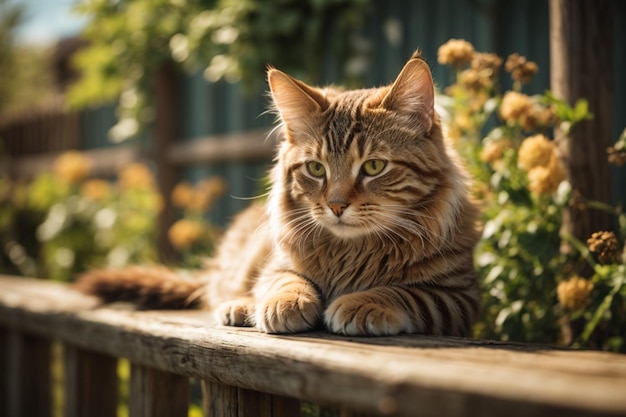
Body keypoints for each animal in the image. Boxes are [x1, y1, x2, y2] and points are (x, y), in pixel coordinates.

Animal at [75, 50, 480, 336]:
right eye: (316, 169)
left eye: (374, 167)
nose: (336, 206)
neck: (353, 251)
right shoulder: (278, 264)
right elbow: (285, 280)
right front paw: (286, 302)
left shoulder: (458, 297)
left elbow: (404, 292)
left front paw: (361, 303)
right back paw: (240, 307)